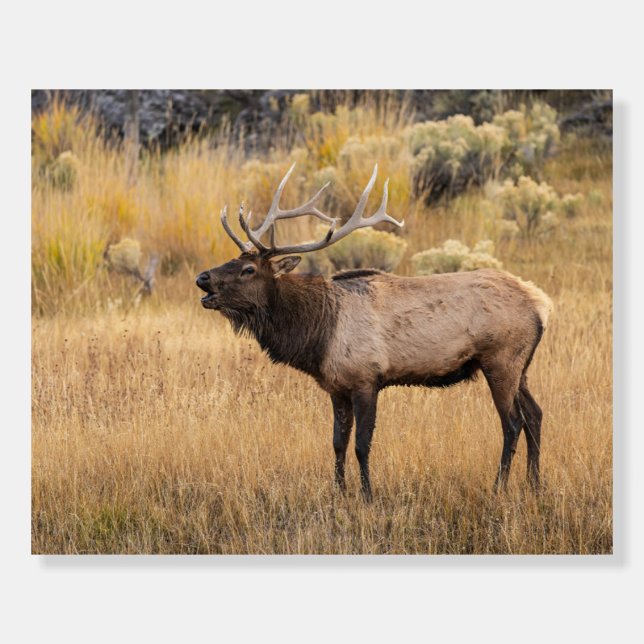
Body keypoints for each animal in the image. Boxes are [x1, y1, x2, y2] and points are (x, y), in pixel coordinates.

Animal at [196, 164, 553, 501]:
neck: (318, 333)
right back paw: (534, 485)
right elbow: (337, 442)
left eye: (248, 269)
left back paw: (499, 487)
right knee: (535, 414)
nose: (202, 278)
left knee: (513, 423)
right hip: (520, 366)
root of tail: (541, 304)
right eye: (231, 260)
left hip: (500, 360)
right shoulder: (336, 387)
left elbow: (361, 444)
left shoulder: (366, 379)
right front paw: (339, 491)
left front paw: (367, 494)